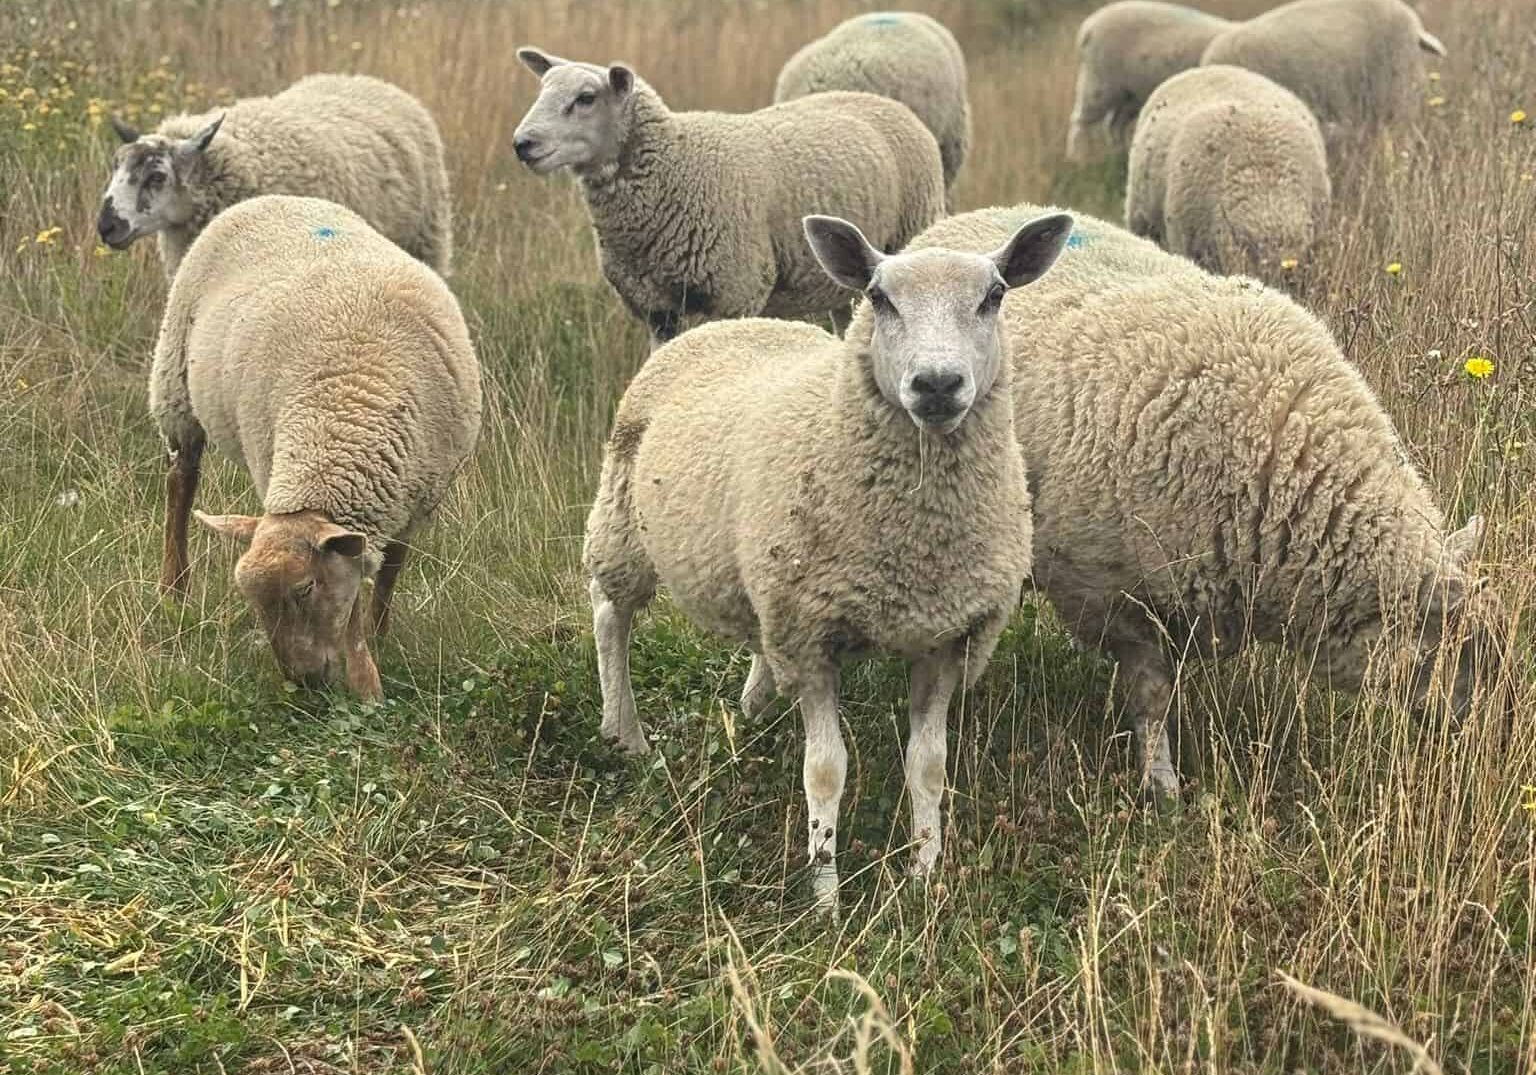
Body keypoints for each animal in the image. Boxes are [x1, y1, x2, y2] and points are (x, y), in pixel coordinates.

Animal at [149, 194, 481, 700]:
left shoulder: (416, 496)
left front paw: (379, 636)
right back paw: (174, 587)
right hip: (175, 385)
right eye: (253, 602)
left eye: (305, 589)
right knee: (180, 483)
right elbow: (352, 604)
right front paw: (366, 682)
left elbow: (387, 572)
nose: (302, 683)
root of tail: (272, 197)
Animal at [512, 48, 945, 346]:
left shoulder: (736, 294)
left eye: (586, 98)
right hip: (838, 278)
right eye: (542, 90)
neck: (675, 166)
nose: (522, 144)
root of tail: (885, 102)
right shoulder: (656, 310)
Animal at [583, 210, 1074, 904]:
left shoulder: (947, 637)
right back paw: (624, 732)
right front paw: (825, 890)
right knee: (611, 613)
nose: (937, 384)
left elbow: (928, 765)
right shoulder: (811, 639)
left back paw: (750, 709)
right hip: (623, 515)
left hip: (765, 574)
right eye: (879, 297)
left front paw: (925, 874)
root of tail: (729, 324)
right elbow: (825, 771)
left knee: (750, 640)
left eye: (994, 296)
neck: (918, 541)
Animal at [901, 203, 1502, 798]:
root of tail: (962, 220)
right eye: (1444, 647)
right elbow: (1152, 694)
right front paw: (1161, 785)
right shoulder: (1114, 592)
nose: (1482, 737)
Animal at [1067, 1, 1233, 161]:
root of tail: (1088, 25)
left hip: (1130, 94)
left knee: (1115, 125)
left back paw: (1120, 155)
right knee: (1079, 124)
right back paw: (1078, 159)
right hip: (1100, 82)